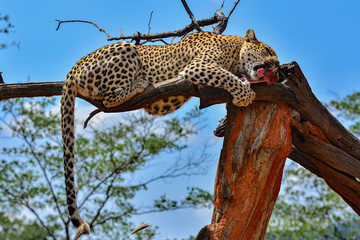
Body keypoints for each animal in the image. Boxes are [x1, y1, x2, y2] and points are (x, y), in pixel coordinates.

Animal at [60, 28, 280, 238]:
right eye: (268, 51)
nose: (277, 68)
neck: (235, 51)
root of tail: (73, 69)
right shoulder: (198, 66)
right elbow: (227, 77)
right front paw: (244, 94)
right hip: (127, 49)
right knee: (108, 97)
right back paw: (140, 83)